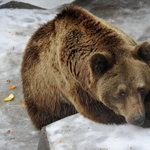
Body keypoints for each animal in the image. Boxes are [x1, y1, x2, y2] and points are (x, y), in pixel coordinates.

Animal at [20, 4, 150, 129]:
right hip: (43, 98)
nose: (138, 118)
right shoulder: (72, 82)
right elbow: (97, 109)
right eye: (121, 93)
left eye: (141, 88)